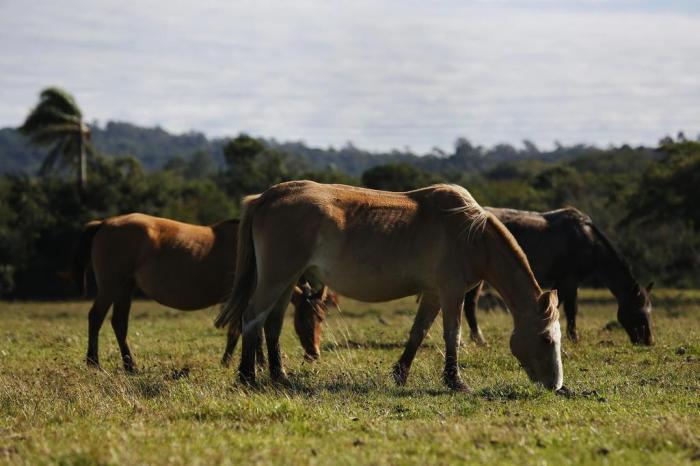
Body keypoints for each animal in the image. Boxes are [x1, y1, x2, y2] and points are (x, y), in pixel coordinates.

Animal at [72, 214, 330, 372]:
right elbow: (241, 331)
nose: (314, 354)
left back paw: (130, 365)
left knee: (119, 323)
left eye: (321, 318)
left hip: (125, 288)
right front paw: (242, 362)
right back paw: (94, 362)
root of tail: (104, 223)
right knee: (96, 318)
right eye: (305, 318)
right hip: (111, 286)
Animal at [215, 180, 564, 392]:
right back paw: (247, 376)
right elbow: (452, 334)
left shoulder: (433, 293)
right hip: (277, 277)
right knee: (252, 317)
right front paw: (455, 381)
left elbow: (418, 332)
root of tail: (268, 196)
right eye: (546, 338)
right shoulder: (451, 291)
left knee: (272, 324)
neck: (471, 234)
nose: (556, 384)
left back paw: (280, 376)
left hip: (287, 280)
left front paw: (400, 374)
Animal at [462, 208, 652, 346]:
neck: (590, 243)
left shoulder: (568, 281)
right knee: (470, 303)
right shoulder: (569, 279)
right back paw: (478, 339)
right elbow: (568, 308)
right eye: (639, 312)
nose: (648, 342)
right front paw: (572, 337)